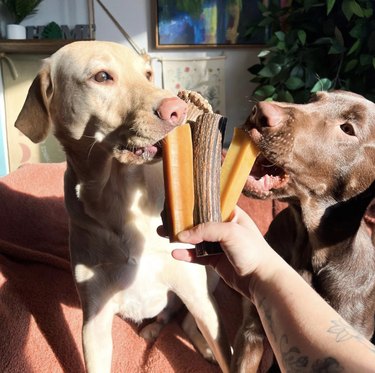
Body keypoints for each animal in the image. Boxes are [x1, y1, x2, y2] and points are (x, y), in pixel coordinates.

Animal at [14, 40, 232, 372]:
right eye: (102, 76)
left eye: (148, 74)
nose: (177, 110)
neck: (119, 195)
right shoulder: (94, 319)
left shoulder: (197, 294)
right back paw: (153, 329)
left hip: (210, 277)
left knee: (186, 320)